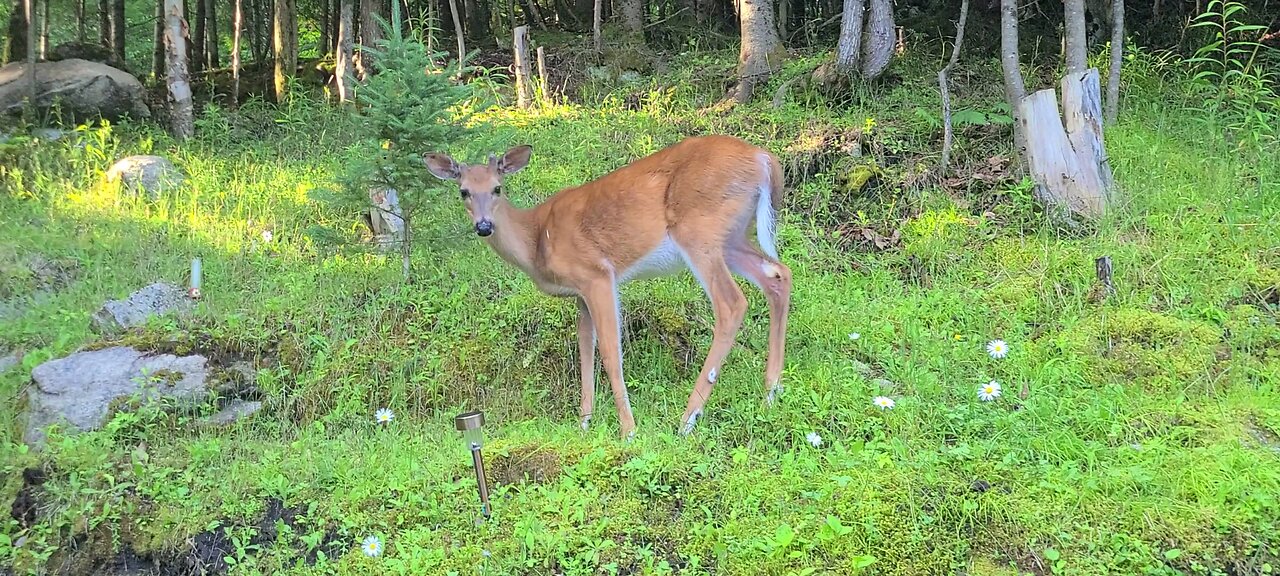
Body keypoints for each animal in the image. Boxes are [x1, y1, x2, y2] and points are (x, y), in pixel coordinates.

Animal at [424, 135, 788, 440]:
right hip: (733, 237)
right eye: (464, 191)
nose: (484, 226)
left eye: (497, 188)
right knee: (779, 275)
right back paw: (770, 393)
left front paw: (628, 430)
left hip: (700, 229)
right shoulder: (579, 294)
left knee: (732, 303)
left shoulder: (597, 274)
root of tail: (764, 158)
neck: (537, 239)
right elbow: (585, 352)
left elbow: (611, 353)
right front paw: (584, 423)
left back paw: (689, 417)